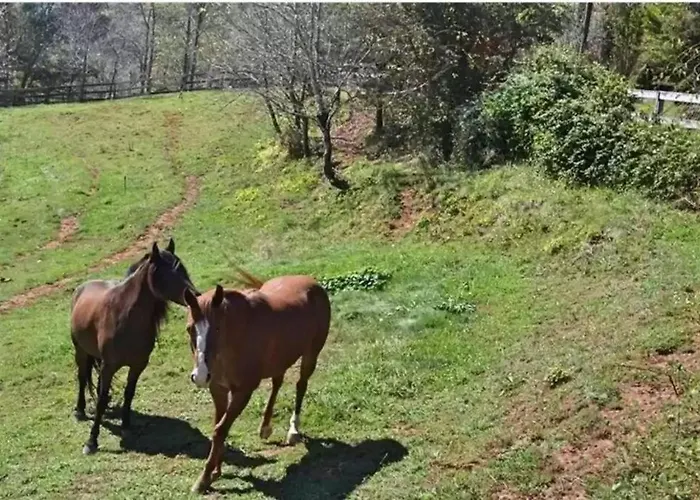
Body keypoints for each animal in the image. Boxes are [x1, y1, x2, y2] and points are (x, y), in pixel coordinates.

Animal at [70, 238, 199, 455]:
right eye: (167, 272)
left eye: (183, 269)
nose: (196, 296)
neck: (124, 317)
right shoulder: (109, 366)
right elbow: (101, 400)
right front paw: (91, 442)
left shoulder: (138, 365)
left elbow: (128, 394)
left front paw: (126, 426)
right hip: (80, 350)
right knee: (82, 378)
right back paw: (79, 410)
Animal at [182, 270, 331, 493]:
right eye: (190, 328)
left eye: (217, 328)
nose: (200, 375)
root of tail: (311, 282)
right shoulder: (218, 389)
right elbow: (218, 427)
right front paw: (216, 472)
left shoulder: (243, 391)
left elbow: (220, 430)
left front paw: (204, 478)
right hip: (281, 359)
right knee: (277, 383)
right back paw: (265, 427)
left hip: (311, 354)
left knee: (301, 385)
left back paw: (293, 430)